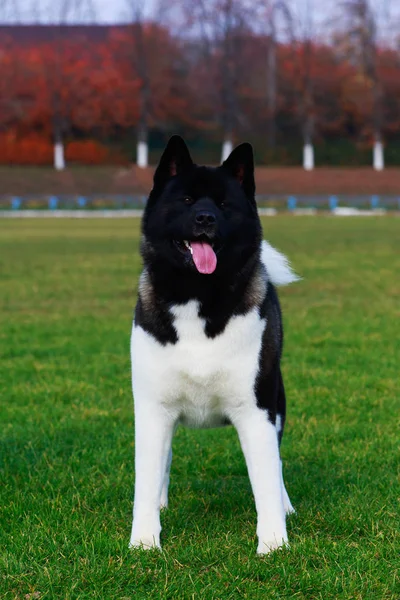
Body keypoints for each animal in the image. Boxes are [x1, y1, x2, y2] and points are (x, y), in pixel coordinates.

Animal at [128, 135, 296, 552]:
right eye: (187, 200)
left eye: (223, 205)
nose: (206, 219)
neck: (197, 296)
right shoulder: (152, 409)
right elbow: (147, 477)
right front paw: (144, 543)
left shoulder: (257, 411)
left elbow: (266, 479)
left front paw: (274, 545)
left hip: (277, 402)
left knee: (277, 463)